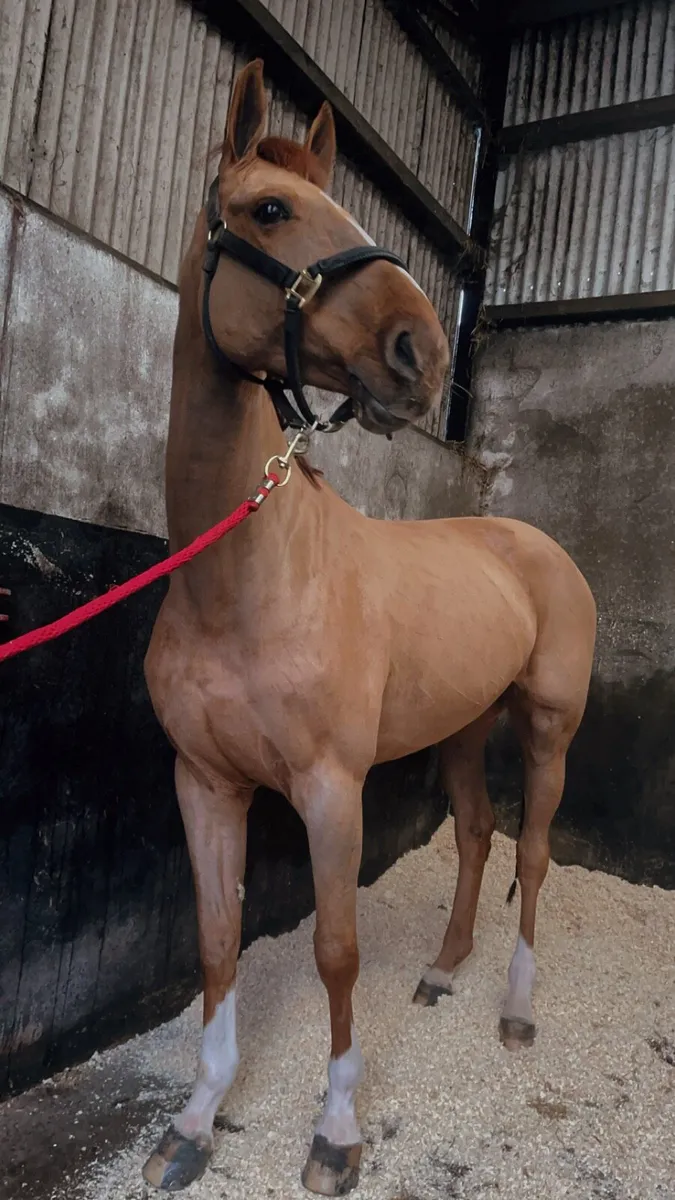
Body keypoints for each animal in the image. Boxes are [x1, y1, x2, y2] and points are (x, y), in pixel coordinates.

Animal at [142, 59, 596, 1197]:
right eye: (268, 210)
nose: (422, 352)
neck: (244, 585)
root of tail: (536, 545)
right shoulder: (203, 783)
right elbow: (217, 942)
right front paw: (197, 1119)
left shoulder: (328, 789)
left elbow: (335, 952)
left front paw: (336, 1131)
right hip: (465, 727)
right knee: (477, 835)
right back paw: (441, 969)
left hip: (547, 728)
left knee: (533, 852)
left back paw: (514, 1009)